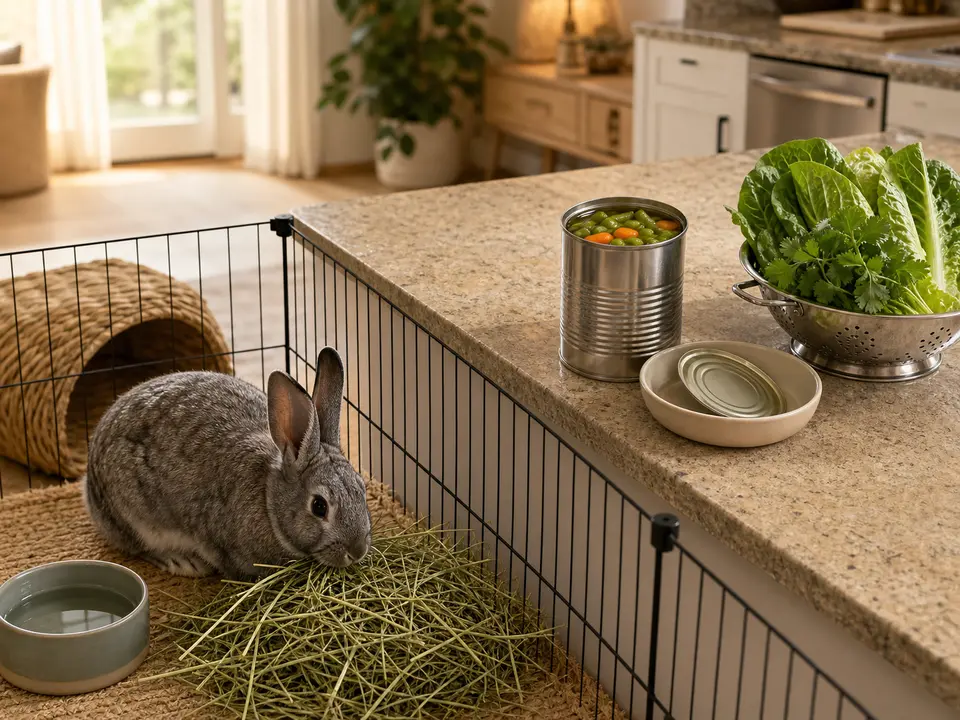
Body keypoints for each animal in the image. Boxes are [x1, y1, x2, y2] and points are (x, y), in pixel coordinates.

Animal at [82, 347, 372, 580]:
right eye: (319, 506)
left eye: (361, 489)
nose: (357, 551)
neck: (269, 501)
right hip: (135, 516)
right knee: (138, 548)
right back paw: (183, 562)